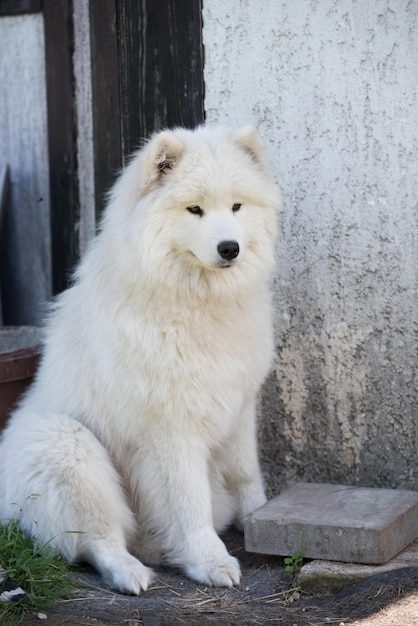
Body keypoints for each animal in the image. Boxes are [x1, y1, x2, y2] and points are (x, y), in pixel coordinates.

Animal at [0, 124, 280, 592]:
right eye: (194, 209)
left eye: (237, 206)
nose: (230, 248)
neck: (196, 301)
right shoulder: (170, 430)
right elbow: (190, 502)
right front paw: (210, 560)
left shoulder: (239, 407)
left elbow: (246, 475)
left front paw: (258, 519)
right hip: (68, 447)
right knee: (98, 539)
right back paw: (131, 573)